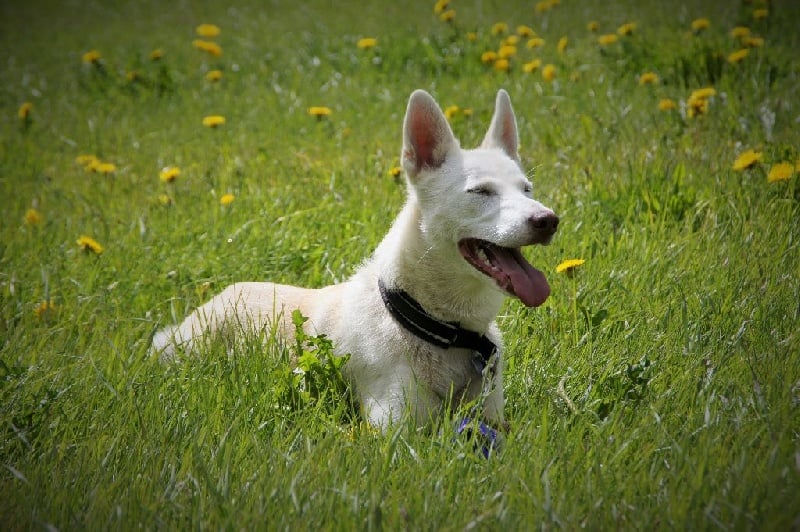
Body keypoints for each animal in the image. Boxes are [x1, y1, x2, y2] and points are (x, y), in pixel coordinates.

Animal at [152, 89, 558, 431]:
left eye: (527, 189)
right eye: (481, 191)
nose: (549, 220)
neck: (436, 325)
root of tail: (215, 299)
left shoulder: (493, 421)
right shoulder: (394, 429)